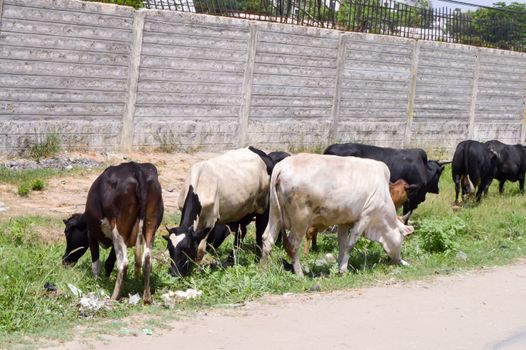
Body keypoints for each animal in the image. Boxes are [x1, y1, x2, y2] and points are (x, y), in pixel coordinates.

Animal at [63, 162, 164, 304]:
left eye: (66, 232)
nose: (64, 260)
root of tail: (135, 167)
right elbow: (109, 263)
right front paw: (106, 279)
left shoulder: (91, 235)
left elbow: (96, 263)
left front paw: (96, 282)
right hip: (151, 225)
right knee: (147, 259)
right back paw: (146, 297)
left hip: (119, 229)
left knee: (123, 263)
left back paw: (114, 297)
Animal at [262, 153, 416, 276]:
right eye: (402, 238)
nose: (397, 260)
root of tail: (282, 166)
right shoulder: (365, 217)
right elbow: (350, 244)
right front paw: (343, 270)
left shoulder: (344, 222)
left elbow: (342, 244)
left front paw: (340, 267)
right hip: (301, 220)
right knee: (293, 245)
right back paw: (299, 273)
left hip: (275, 214)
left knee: (267, 239)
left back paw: (264, 269)